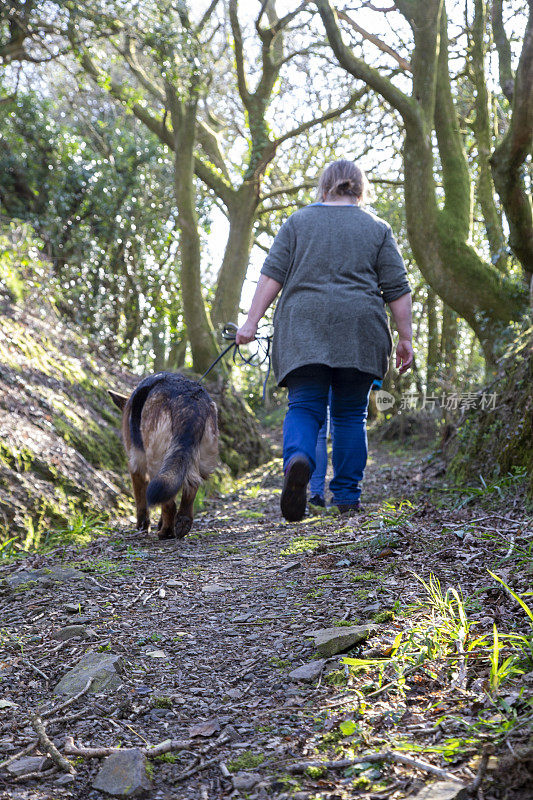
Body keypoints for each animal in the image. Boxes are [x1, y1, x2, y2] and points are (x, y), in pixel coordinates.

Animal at [109, 374, 217, 536]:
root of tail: (189, 401)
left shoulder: (137, 465)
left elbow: (140, 500)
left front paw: (143, 526)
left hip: (156, 462)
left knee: (169, 504)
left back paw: (166, 532)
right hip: (199, 460)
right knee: (192, 485)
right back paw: (182, 522)